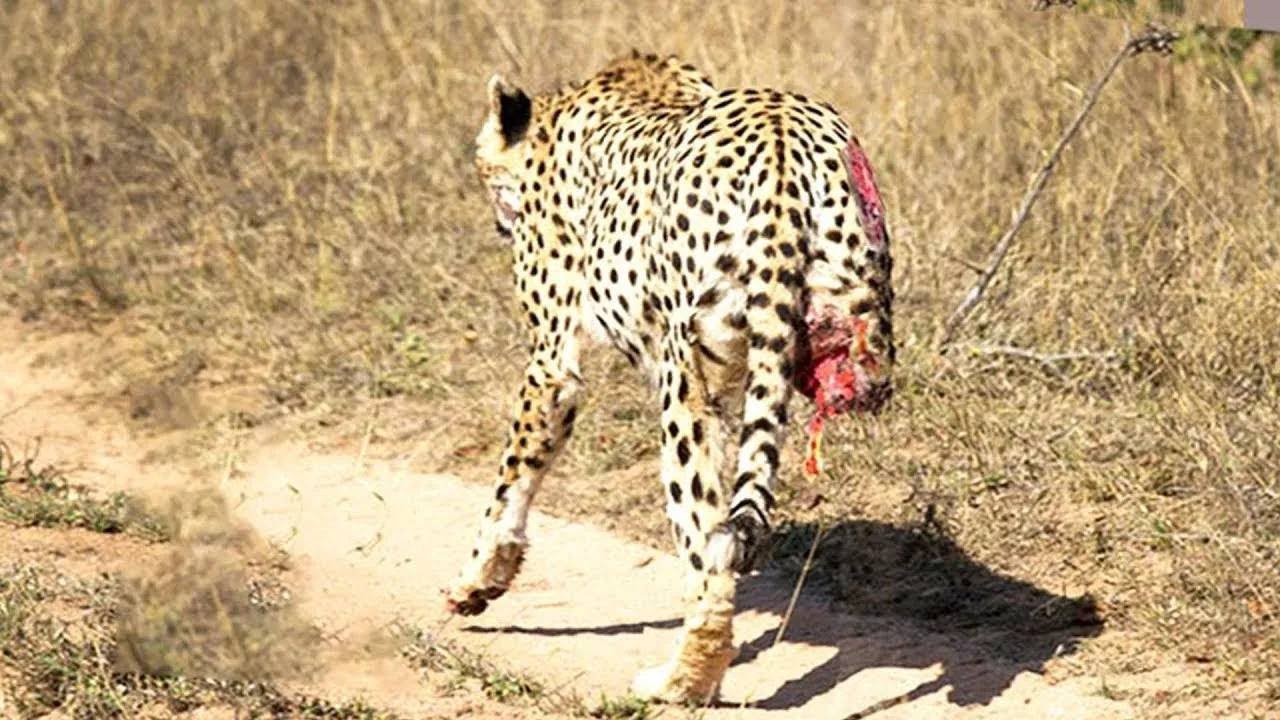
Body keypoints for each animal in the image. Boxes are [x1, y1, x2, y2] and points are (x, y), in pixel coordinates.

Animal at [444, 50, 896, 704]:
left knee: (706, 552)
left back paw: (678, 682)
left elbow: (510, 481)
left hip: (684, 388)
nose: (496, 219)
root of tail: (780, 133)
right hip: (853, 330)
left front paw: (477, 579)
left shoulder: (552, 363)